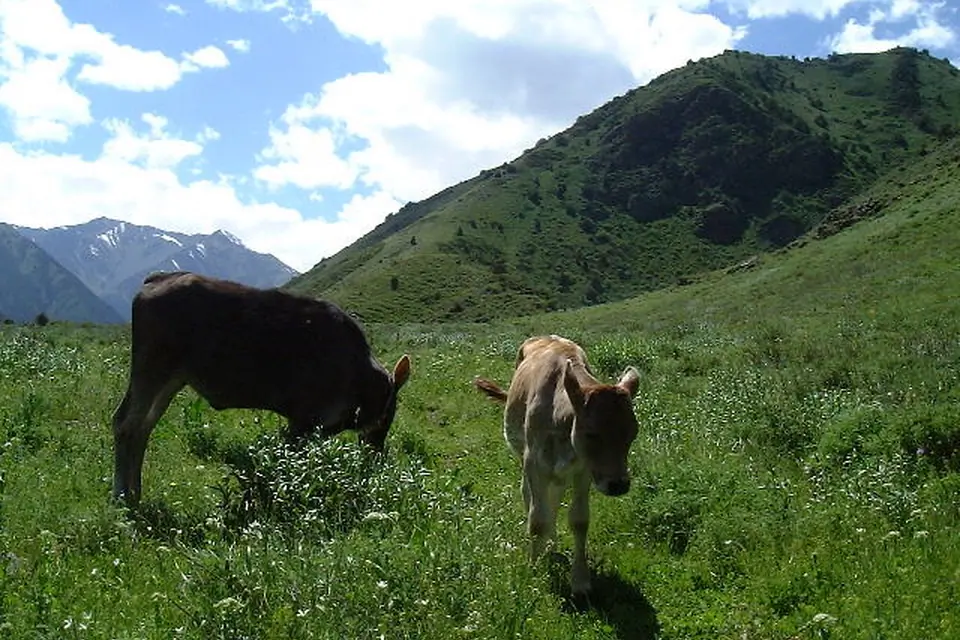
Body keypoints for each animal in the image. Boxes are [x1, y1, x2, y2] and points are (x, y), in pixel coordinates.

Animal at [111, 271, 411, 506]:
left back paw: (135, 494)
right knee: (125, 423)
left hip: (172, 379)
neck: (362, 381)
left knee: (144, 426)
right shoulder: (303, 421)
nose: (376, 453)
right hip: (152, 367)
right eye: (389, 412)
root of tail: (155, 279)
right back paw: (122, 497)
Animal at [474, 335, 640, 595]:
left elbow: (579, 520)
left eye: (633, 433)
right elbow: (536, 519)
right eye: (591, 433)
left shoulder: (584, 470)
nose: (619, 485)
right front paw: (533, 568)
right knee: (528, 495)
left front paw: (580, 580)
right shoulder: (534, 463)